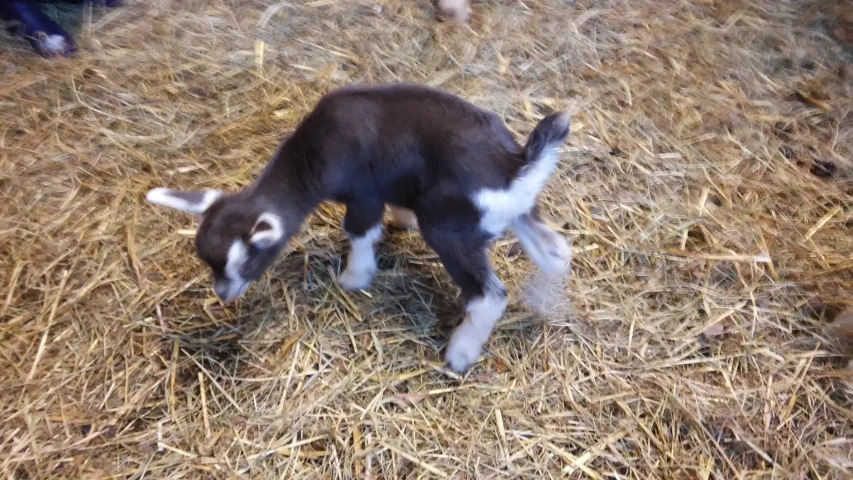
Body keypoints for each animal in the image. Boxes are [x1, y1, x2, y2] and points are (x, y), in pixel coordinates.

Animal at [146, 84, 572, 374]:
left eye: (247, 262)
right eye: (209, 263)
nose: (224, 295)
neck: (312, 156)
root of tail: (513, 166)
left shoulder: (364, 193)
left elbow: (360, 231)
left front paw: (354, 278)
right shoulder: (392, 184)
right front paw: (401, 221)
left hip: (451, 229)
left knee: (489, 295)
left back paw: (460, 353)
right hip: (520, 213)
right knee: (556, 251)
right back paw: (544, 301)